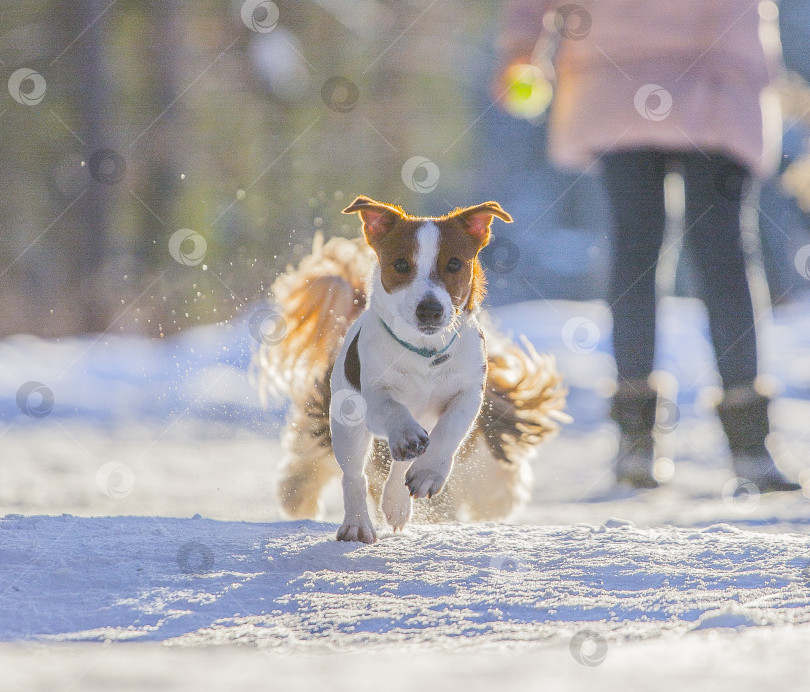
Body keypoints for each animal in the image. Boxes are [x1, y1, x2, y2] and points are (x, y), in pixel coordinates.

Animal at [252, 195, 568, 540]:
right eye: (401, 264)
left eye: (454, 263)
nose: (429, 309)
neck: (425, 354)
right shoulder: (374, 394)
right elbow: (392, 409)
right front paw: (405, 436)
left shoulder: (470, 392)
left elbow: (449, 430)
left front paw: (428, 473)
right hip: (347, 421)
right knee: (354, 474)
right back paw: (357, 524)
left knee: (399, 466)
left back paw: (398, 502)